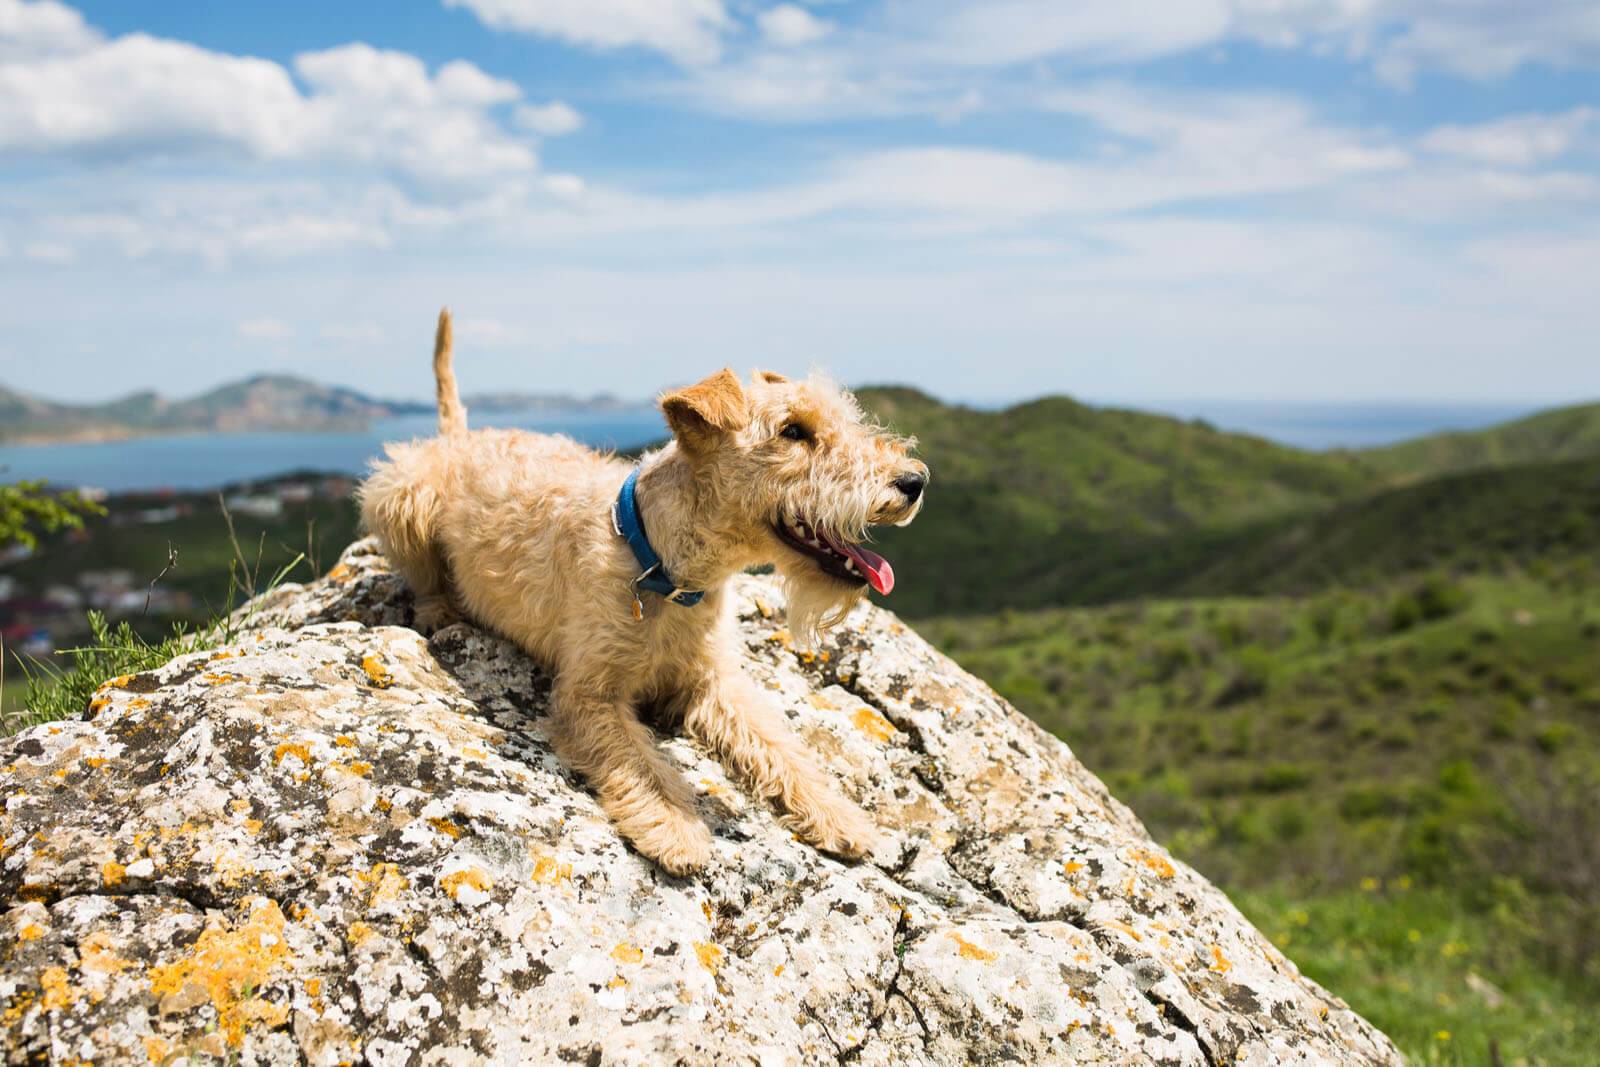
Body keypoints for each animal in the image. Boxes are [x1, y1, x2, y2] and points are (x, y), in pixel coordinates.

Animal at [356, 310, 934, 876]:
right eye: (794, 431)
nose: (915, 481)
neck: (664, 568)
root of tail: (459, 438)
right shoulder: (589, 693)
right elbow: (640, 762)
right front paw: (677, 828)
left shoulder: (713, 680)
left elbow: (780, 745)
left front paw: (839, 817)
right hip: (399, 494)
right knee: (422, 575)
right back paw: (439, 610)